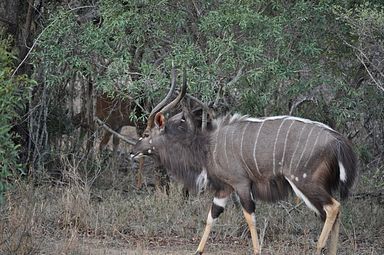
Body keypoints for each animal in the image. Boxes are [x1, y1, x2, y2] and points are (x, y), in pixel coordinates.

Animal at [131, 68, 356, 255]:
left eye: (146, 133)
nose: (132, 153)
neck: (206, 148)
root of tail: (338, 141)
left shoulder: (240, 184)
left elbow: (249, 216)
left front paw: (256, 251)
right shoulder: (224, 189)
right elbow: (212, 215)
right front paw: (198, 250)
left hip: (305, 182)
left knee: (333, 207)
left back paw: (318, 248)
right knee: (333, 212)